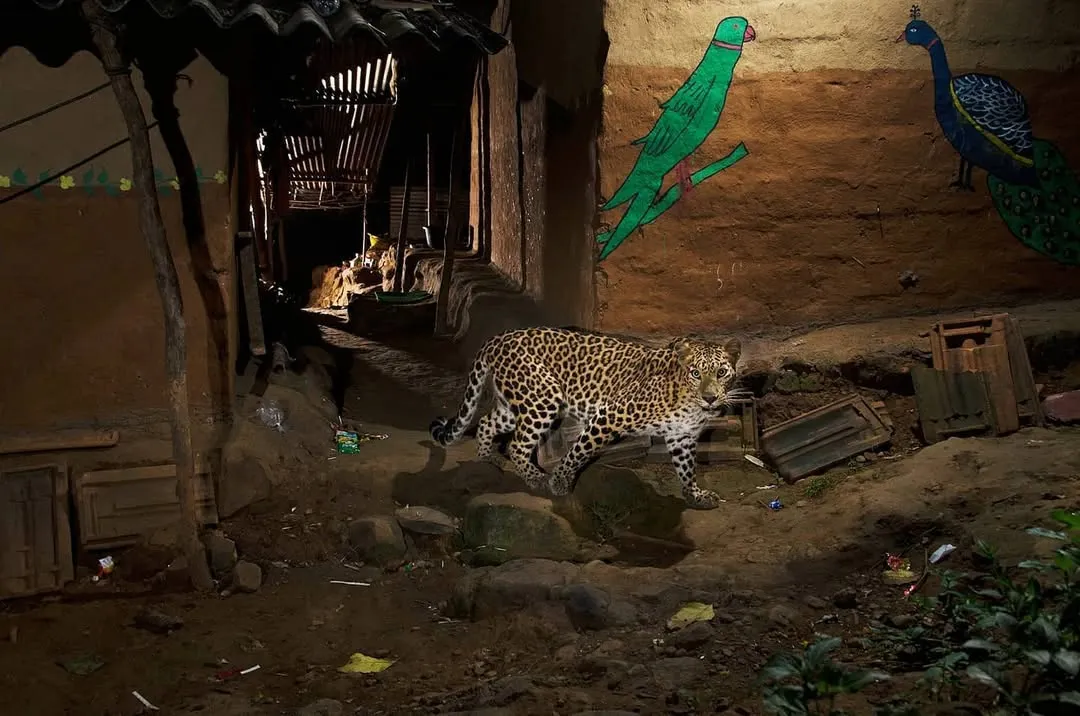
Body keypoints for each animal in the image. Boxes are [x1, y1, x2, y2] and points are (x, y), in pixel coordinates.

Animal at [429, 326, 747, 510]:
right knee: (518, 445)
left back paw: (487, 460)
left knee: (486, 422)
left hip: (516, 404)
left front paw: (695, 495)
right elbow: (578, 451)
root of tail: (497, 338)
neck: (689, 401)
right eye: (695, 373)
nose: (710, 397)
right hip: (544, 398)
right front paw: (559, 482)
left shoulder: (682, 436)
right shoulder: (610, 414)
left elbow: (687, 468)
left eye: (721, 372)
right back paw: (536, 478)